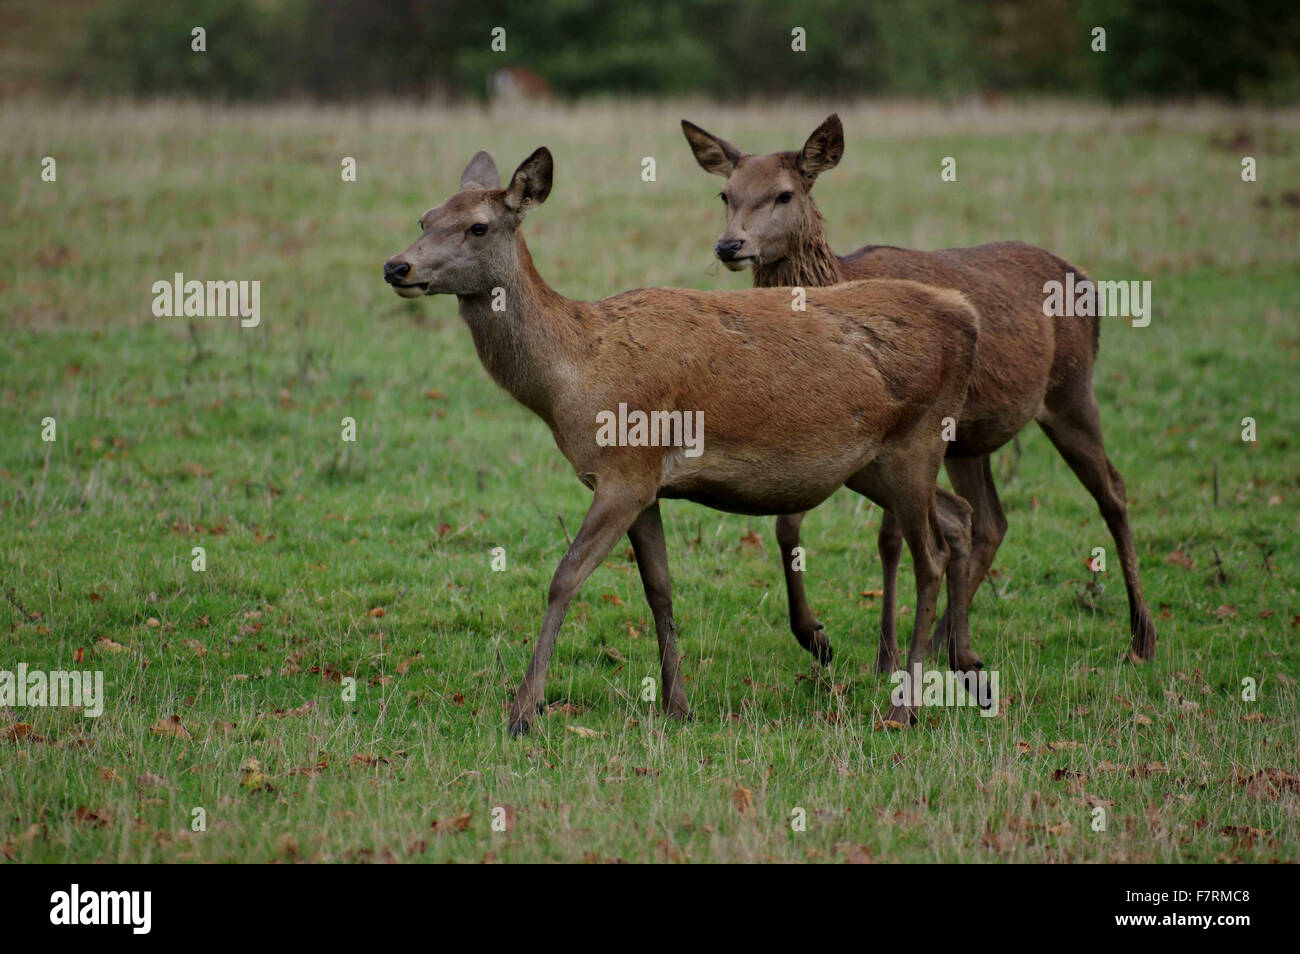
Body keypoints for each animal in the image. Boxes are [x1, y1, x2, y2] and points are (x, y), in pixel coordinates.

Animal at [383, 147, 986, 733]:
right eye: (425, 218)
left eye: (478, 226)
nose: (396, 266)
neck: (572, 377)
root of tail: (966, 315)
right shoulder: (644, 482)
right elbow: (659, 588)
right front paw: (677, 705)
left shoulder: (625, 470)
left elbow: (564, 577)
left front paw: (522, 712)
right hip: (873, 462)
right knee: (958, 517)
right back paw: (965, 670)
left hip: (918, 439)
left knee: (930, 554)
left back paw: (905, 707)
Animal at [681, 114, 1157, 676]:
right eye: (725, 193)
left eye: (784, 193)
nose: (729, 245)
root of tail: (1090, 283)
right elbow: (797, 525)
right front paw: (827, 638)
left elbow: (887, 540)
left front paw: (880, 652)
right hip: (967, 441)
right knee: (990, 520)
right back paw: (946, 639)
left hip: (1071, 390)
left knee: (1113, 491)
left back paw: (1141, 636)